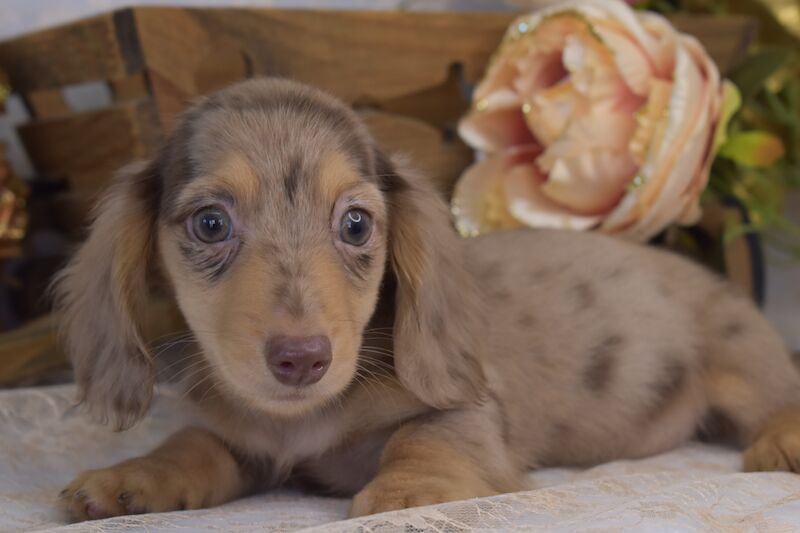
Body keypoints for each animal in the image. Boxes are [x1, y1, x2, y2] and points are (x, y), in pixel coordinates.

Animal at [54, 77, 800, 516]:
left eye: (356, 224)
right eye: (210, 224)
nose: (302, 359)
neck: (309, 417)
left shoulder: (468, 414)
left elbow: (422, 438)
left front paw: (403, 494)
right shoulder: (248, 441)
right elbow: (192, 444)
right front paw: (130, 477)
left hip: (741, 360)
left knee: (777, 397)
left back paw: (782, 440)